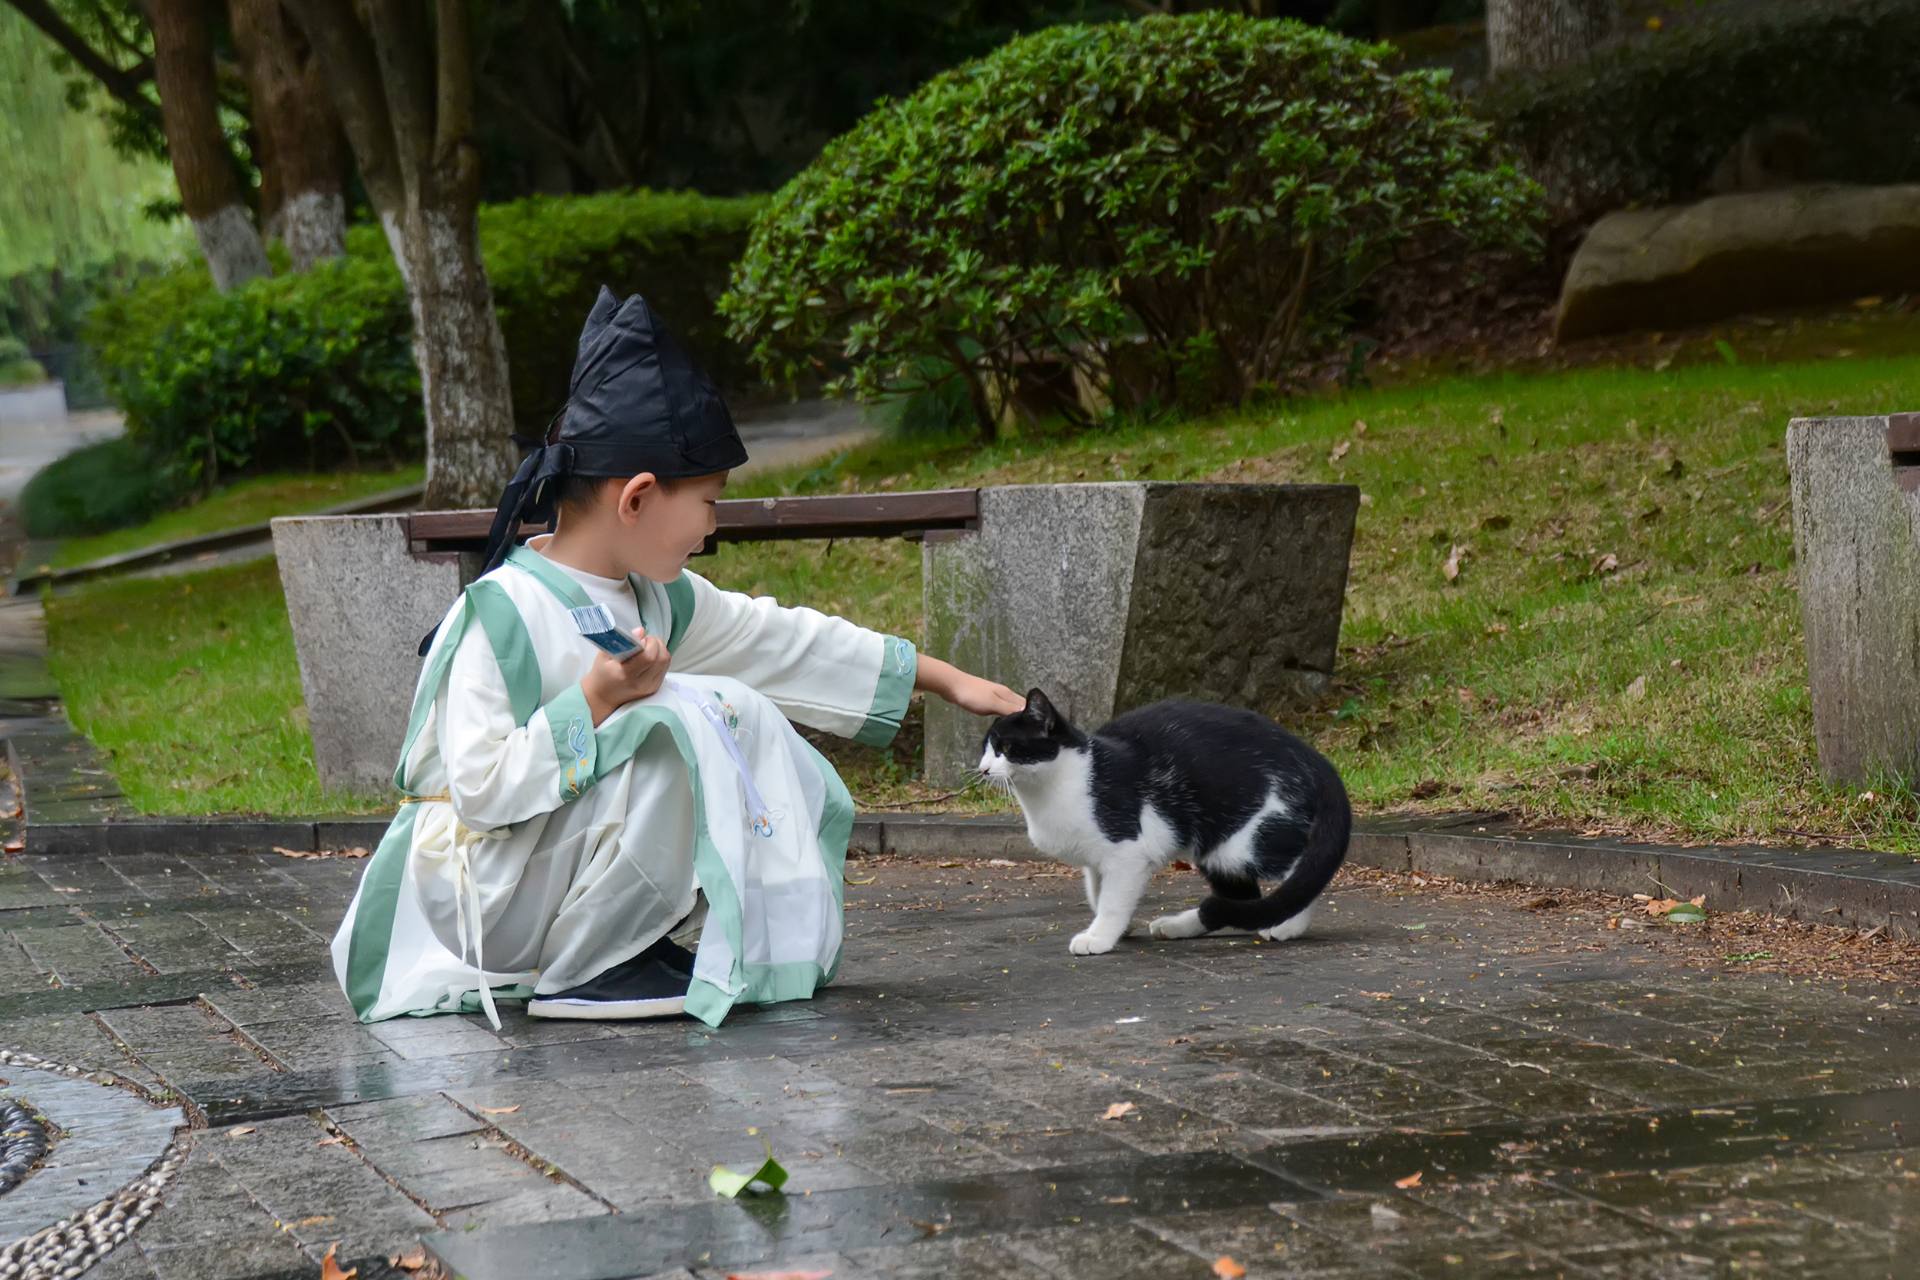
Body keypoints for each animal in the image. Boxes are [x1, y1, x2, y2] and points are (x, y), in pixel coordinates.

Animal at [990, 690, 1351, 951]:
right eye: (986, 748)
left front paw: (1099, 937)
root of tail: (1317, 760)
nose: (983, 768)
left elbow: (1111, 900)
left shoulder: (1126, 851)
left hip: (1248, 839)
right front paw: (1121, 926)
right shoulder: (1096, 859)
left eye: (1006, 747)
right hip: (1217, 847)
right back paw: (1178, 926)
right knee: (1242, 897)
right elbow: (1097, 892)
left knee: (1303, 874)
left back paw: (1288, 925)